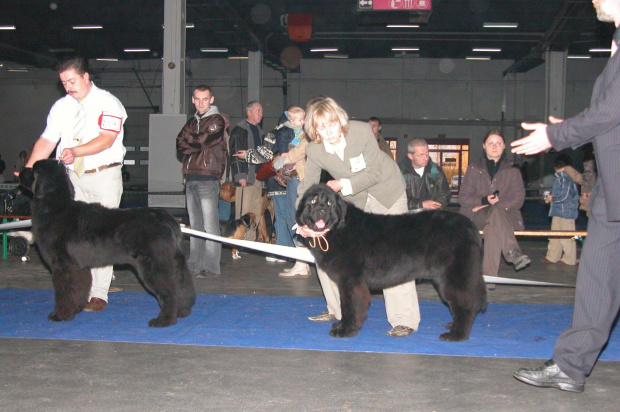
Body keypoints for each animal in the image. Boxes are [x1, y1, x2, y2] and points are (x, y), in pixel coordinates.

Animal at [23, 159, 195, 326]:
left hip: (154, 266)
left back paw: (164, 320)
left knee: (170, 292)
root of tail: (165, 218)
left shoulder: (63, 265)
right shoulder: (79, 267)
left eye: (33, 169)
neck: (55, 206)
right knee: (181, 286)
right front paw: (76, 308)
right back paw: (182, 311)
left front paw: (61, 315)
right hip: (171, 262)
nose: (22, 170)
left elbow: (64, 291)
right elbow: (79, 287)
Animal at [298, 184, 486, 342]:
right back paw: (453, 326)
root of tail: (470, 226)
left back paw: (456, 334)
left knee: (465, 304)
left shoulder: (350, 281)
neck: (338, 228)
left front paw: (345, 329)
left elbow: (350, 306)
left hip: (452, 277)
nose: (321, 210)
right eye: (313, 201)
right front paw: (341, 324)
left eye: (329, 203)